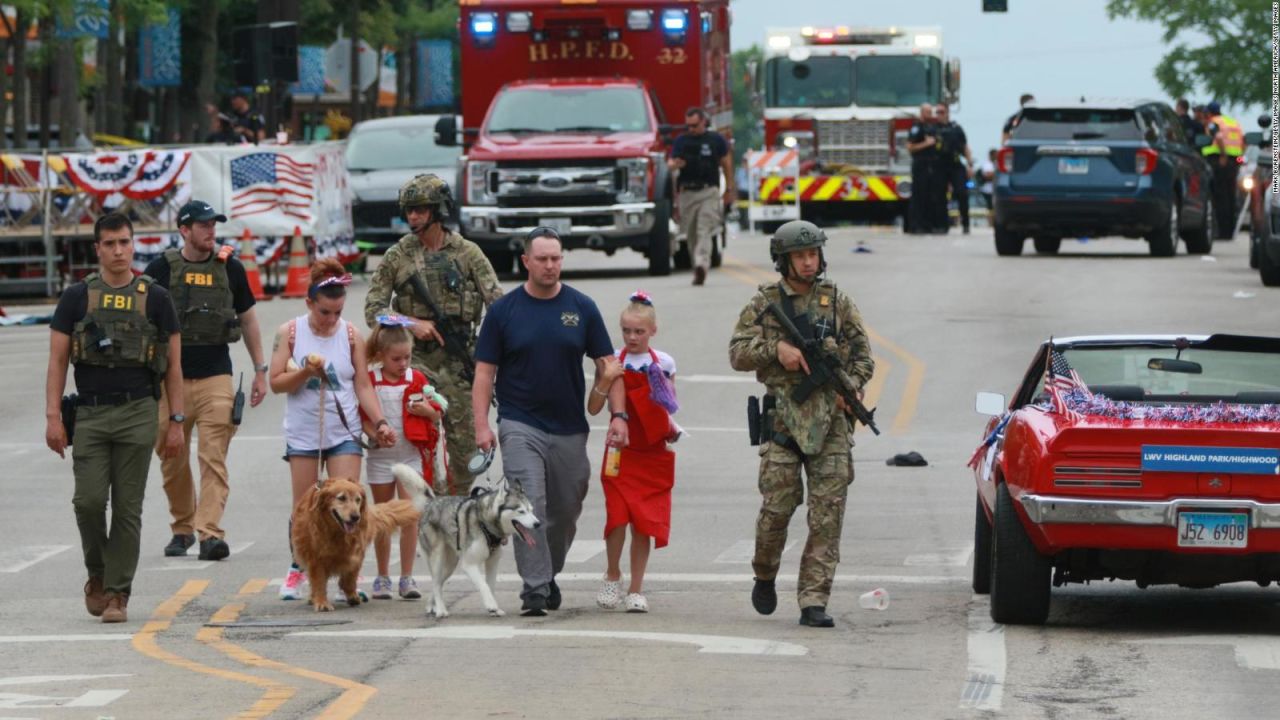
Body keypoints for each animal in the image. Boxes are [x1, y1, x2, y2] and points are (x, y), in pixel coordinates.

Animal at [396, 461, 542, 614]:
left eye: (531, 510)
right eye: (521, 511)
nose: (538, 524)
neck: (485, 524)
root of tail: (431, 502)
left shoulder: (492, 562)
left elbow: (491, 586)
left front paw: (496, 609)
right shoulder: (469, 564)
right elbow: (483, 585)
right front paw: (491, 605)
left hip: (450, 564)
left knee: (439, 583)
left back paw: (431, 606)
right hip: (437, 557)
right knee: (436, 583)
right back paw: (441, 610)